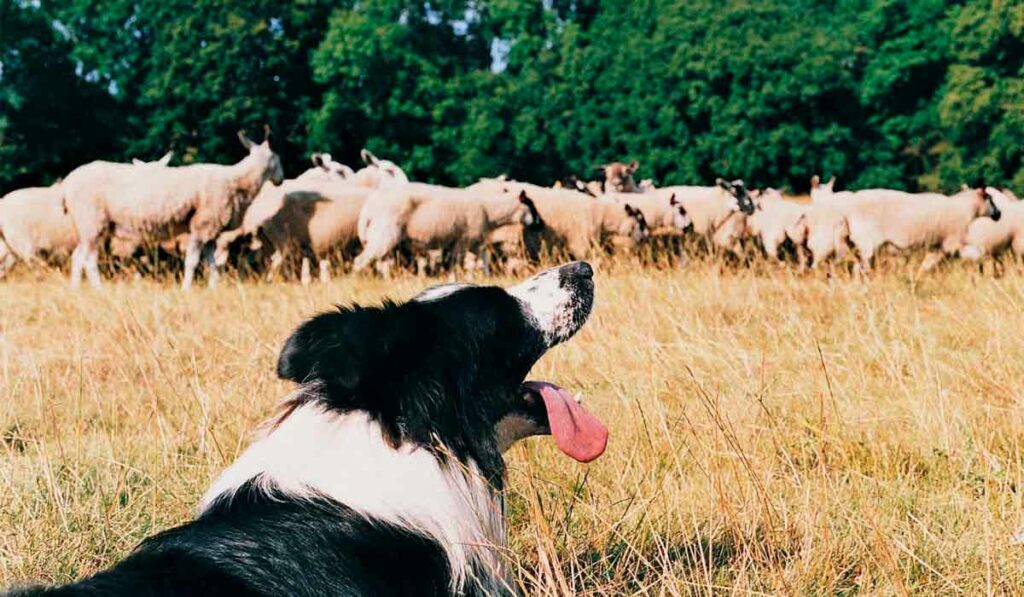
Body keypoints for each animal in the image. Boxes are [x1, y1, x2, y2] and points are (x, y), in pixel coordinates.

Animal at [64, 129, 282, 290]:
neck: (236, 181)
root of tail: (67, 184)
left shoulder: (210, 232)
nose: (280, 180)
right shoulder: (202, 225)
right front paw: (186, 289)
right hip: (92, 220)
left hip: (88, 225)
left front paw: (213, 288)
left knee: (77, 257)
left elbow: (211, 263)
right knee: (89, 260)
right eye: (278, 158)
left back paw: (75, 290)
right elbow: (193, 261)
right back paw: (97, 289)